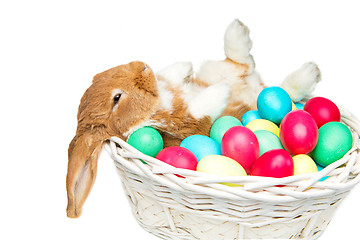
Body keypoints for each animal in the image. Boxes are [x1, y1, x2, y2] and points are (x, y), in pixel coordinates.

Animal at [66, 18, 320, 218]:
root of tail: (255, 89)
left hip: (216, 69)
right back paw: (307, 73)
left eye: (102, 74)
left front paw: (183, 67)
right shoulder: (190, 125)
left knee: (244, 64)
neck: (156, 105)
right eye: (116, 98)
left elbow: (168, 76)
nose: (143, 65)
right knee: (277, 87)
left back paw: (241, 33)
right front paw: (221, 91)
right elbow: (200, 110)